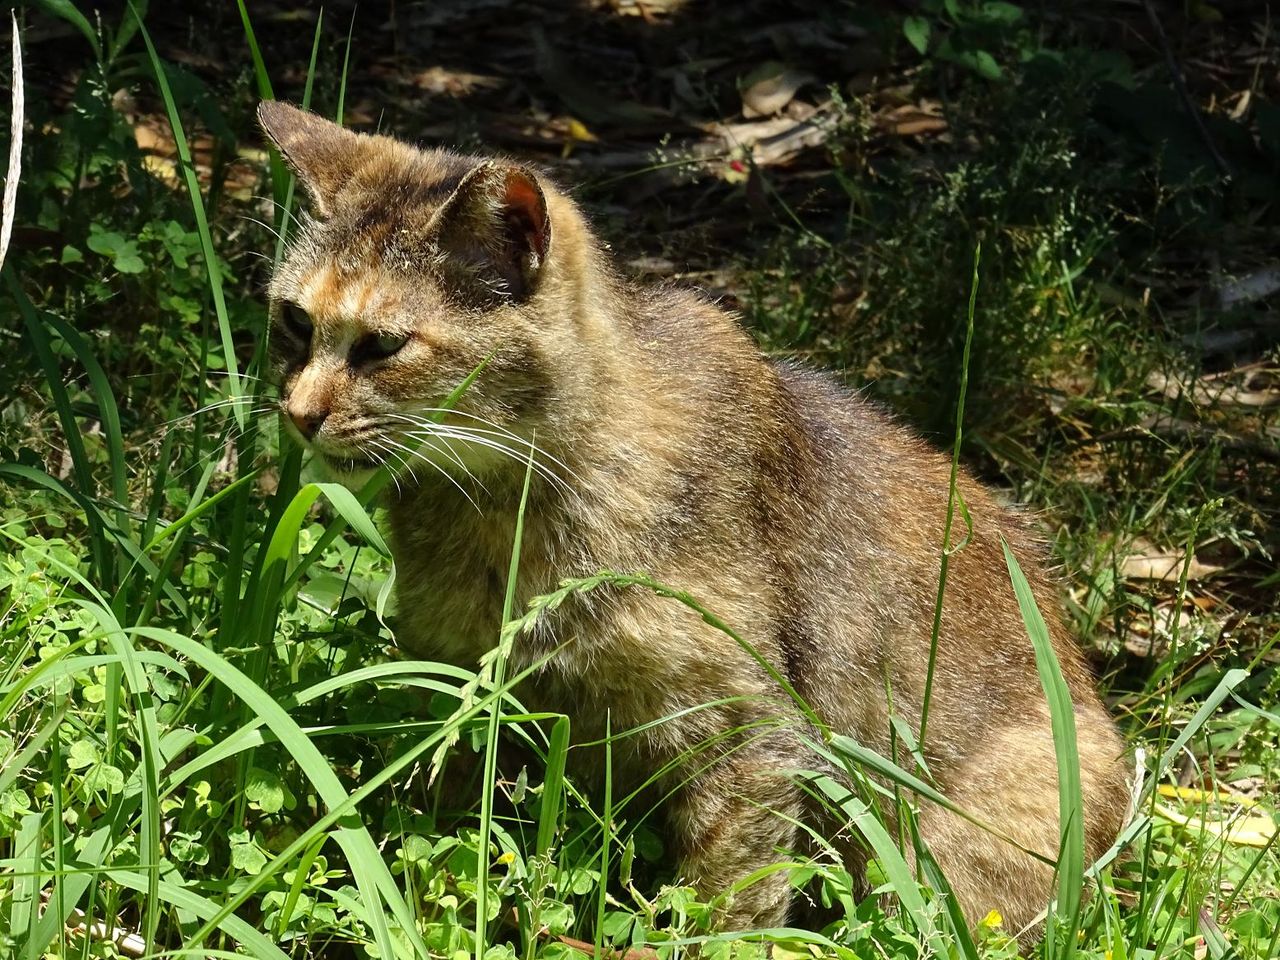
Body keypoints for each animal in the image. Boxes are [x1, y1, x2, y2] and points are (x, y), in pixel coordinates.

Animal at [258, 99, 1128, 936]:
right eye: (294, 322)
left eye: (382, 346)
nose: (298, 413)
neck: (509, 508)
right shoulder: (458, 687)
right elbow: (447, 844)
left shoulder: (746, 733)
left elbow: (727, 904)